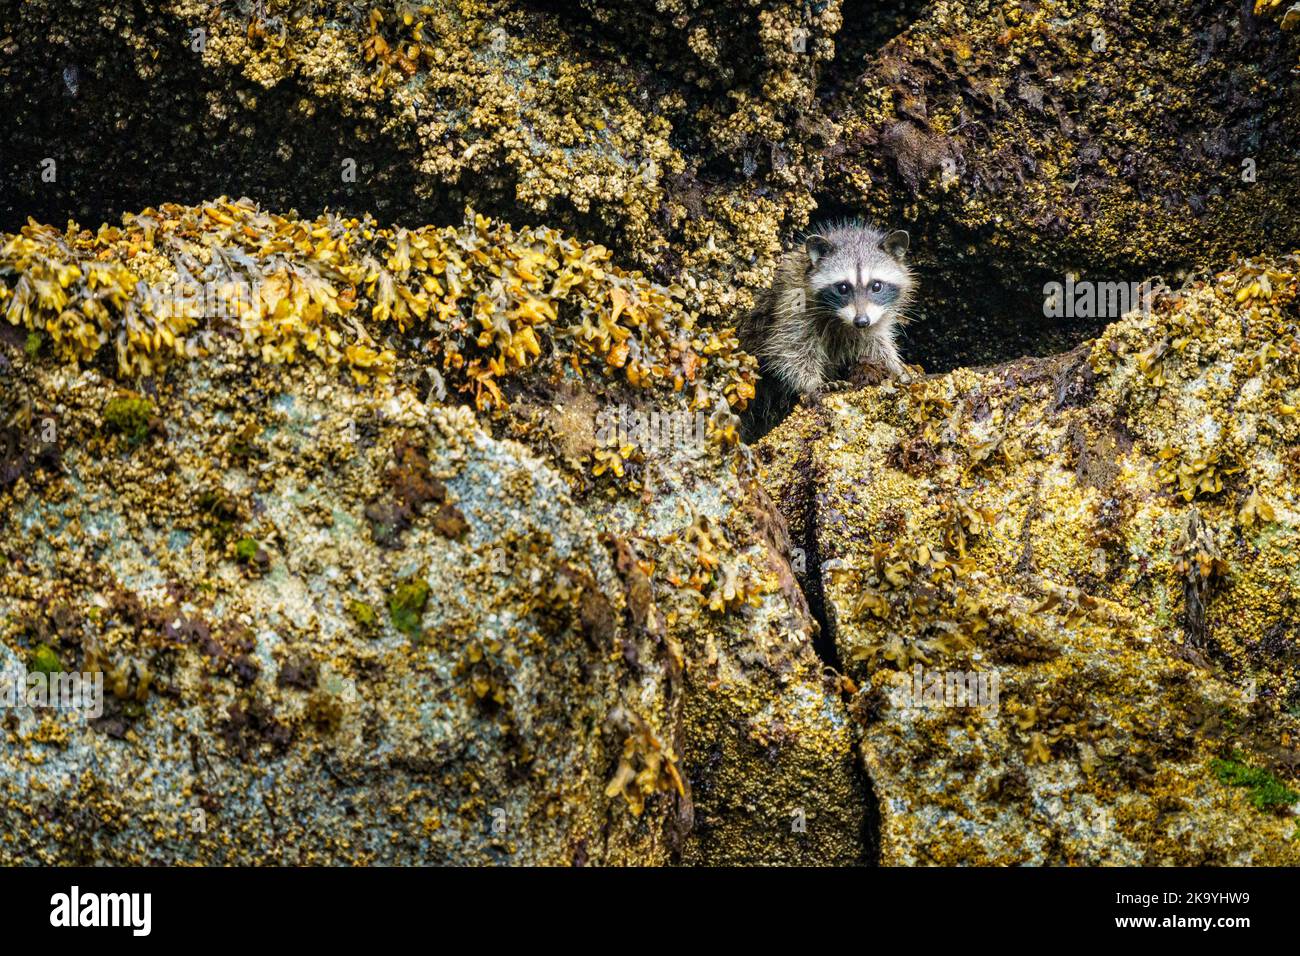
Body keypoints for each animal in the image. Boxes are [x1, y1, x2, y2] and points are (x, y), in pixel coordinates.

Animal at [743, 219, 915, 437]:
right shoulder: (792, 305)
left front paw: (893, 363)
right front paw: (812, 383)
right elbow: (789, 349)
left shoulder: (874, 317)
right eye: (843, 288)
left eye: (876, 286)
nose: (861, 321)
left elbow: (875, 341)